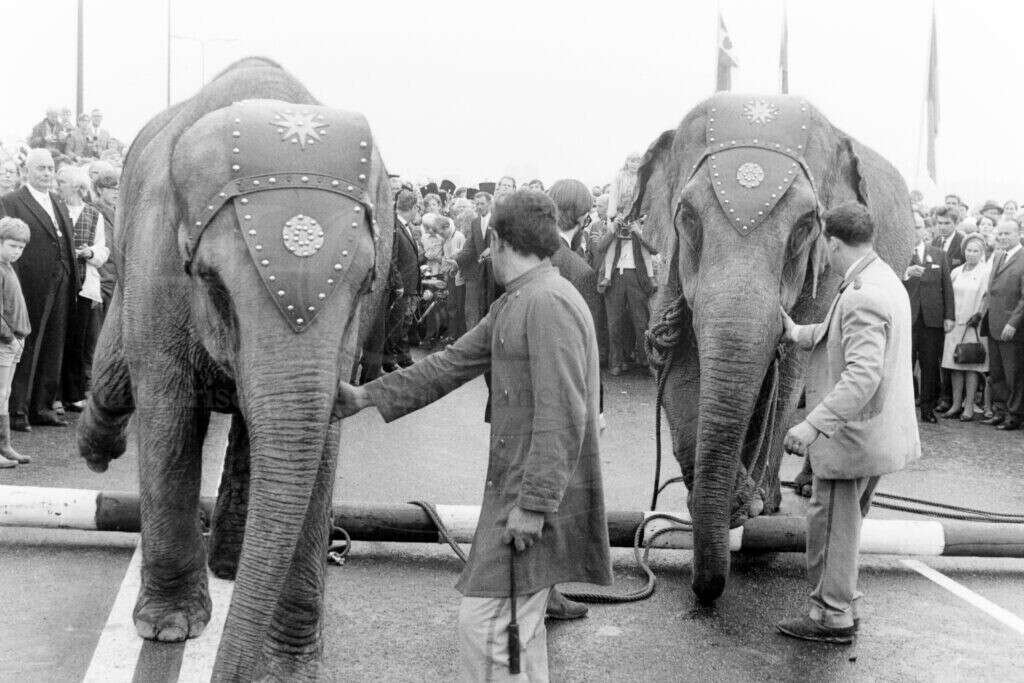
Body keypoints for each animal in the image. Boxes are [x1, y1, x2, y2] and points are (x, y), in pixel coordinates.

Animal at [77, 57, 395, 680]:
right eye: (212, 282)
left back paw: (229, 563)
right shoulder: (156, 263)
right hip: (121, 266)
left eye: (368, 282)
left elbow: (320, 442)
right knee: (114, 375)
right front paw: (169, 628)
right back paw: (97, 450)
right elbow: (169, 412)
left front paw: (289, 666)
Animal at [632, 93, 915, 605]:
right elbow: (676, 357)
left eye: (805, 226)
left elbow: (795, 368)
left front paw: (753, 515)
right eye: (688, 217)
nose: (703, 590)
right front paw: (731, 505)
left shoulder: (823, 276)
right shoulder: (672, 262)